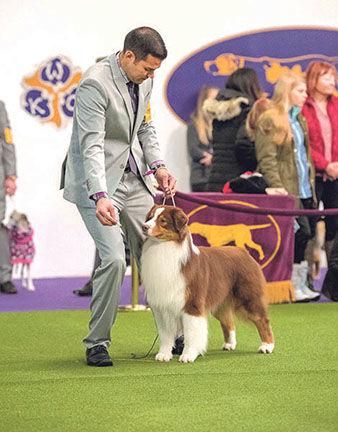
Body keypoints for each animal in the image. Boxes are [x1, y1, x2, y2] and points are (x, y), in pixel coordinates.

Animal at [140, 204, 274, 362]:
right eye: (150, 217)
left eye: (163, 221)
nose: (144, 226)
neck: (164, 248)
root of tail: (243, 252)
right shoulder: (162, 305)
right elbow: (165, 334)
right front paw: (164, 355)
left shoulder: (192, 303)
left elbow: (191, 333)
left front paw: (188, 355)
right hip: (220, 302)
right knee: (228, 321)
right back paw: (229, 344)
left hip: (248, 296)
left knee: (262, 319)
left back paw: (267, 346)